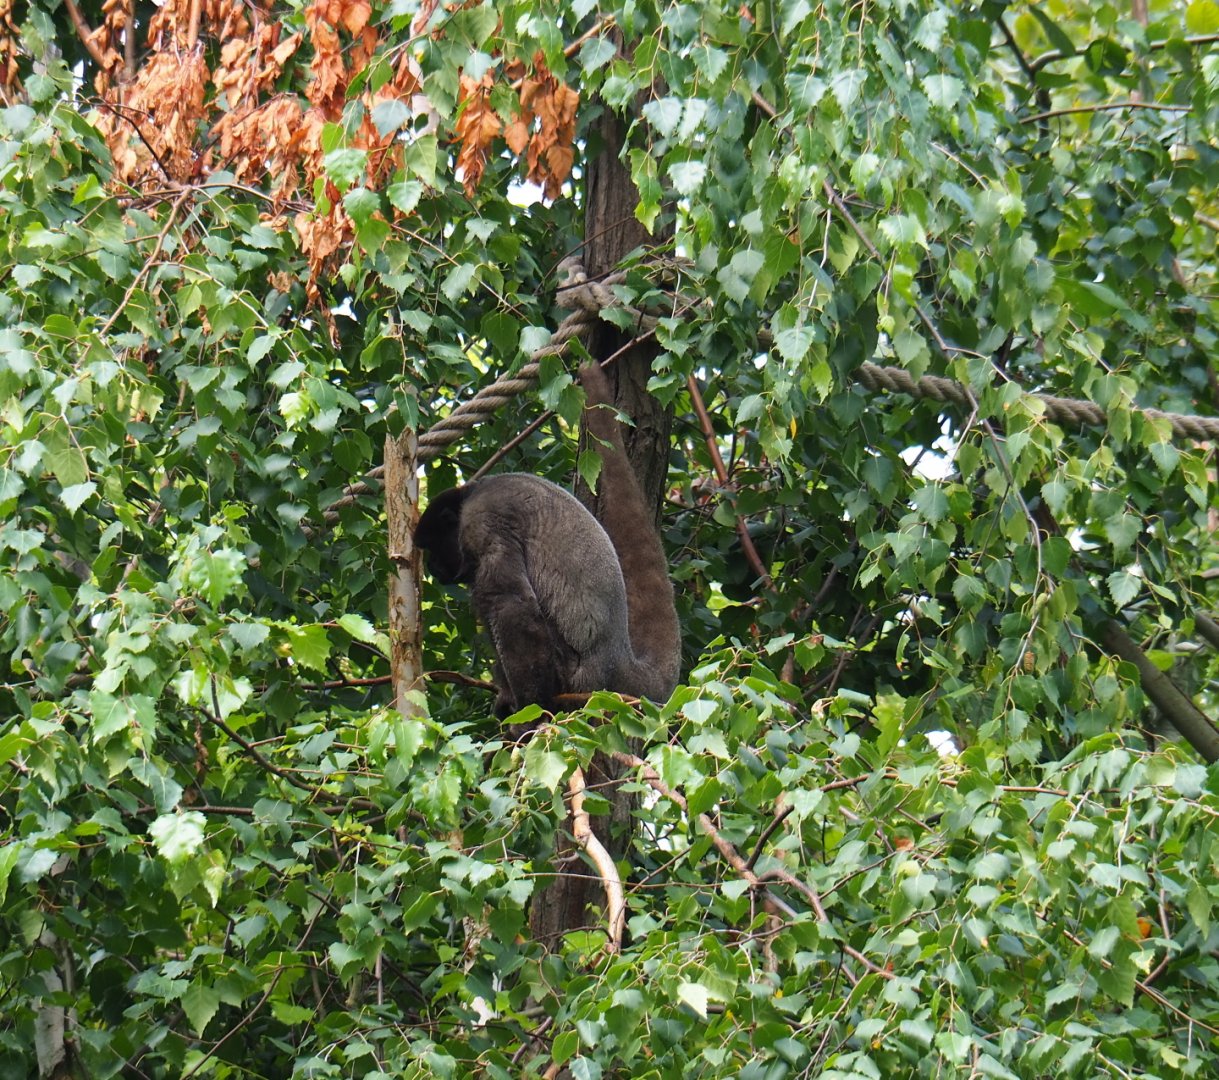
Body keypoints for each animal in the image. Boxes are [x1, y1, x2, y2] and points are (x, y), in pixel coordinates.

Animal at [414, 364, 680, 718]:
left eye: (432, 547)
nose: (431, 565)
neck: (470, 495)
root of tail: (615, 661)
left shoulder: (483, 521)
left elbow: (513, 604)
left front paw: (532, 710)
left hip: (570, 670)